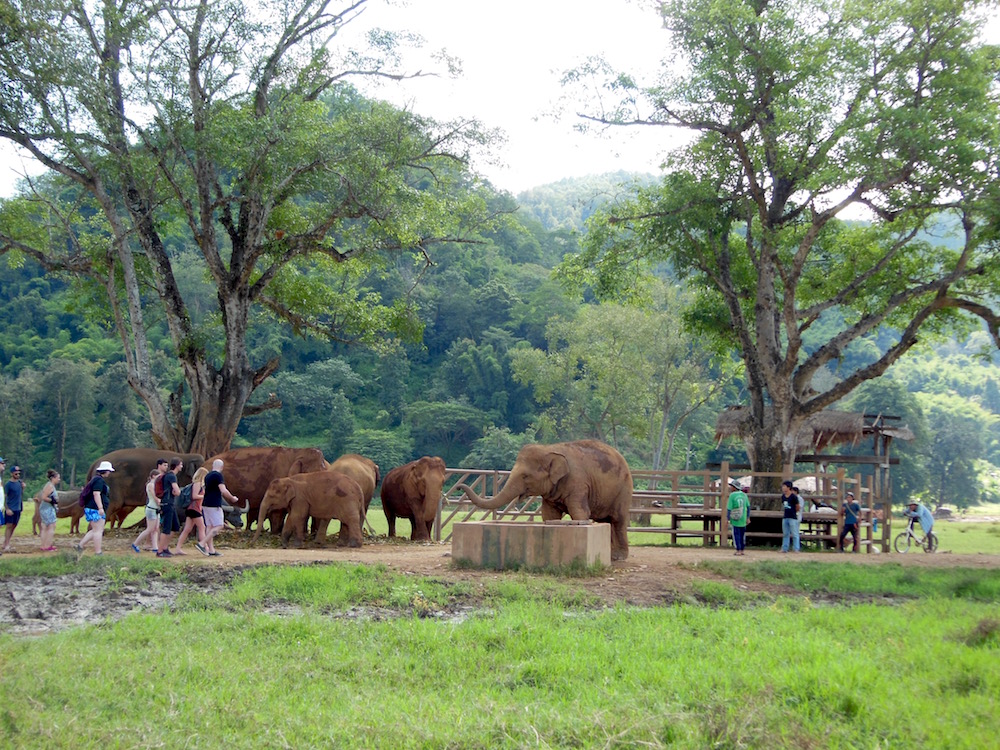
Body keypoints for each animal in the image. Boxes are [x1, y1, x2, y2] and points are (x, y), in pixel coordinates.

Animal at [456, 444, 632, 560]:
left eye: (525, 476)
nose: (458, 487)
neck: (550, 448)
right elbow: (549, 515)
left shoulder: (579, 483)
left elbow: (579, 511)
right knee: (605, 521)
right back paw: (611, 555)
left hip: (624, 490)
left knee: (618, 520)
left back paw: (618, 557)